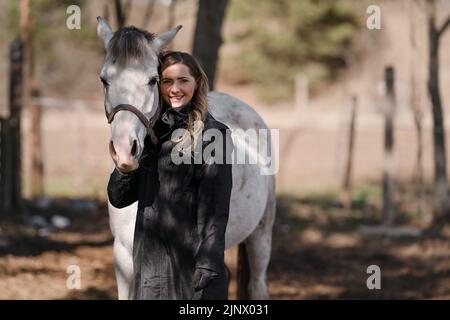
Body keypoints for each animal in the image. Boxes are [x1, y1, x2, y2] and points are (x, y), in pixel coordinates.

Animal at [96, 17, 276, 298]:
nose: (125, 150)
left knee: (257, 284)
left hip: (260, 235)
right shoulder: (123, 258)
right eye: (104, 80)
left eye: (153, 80)